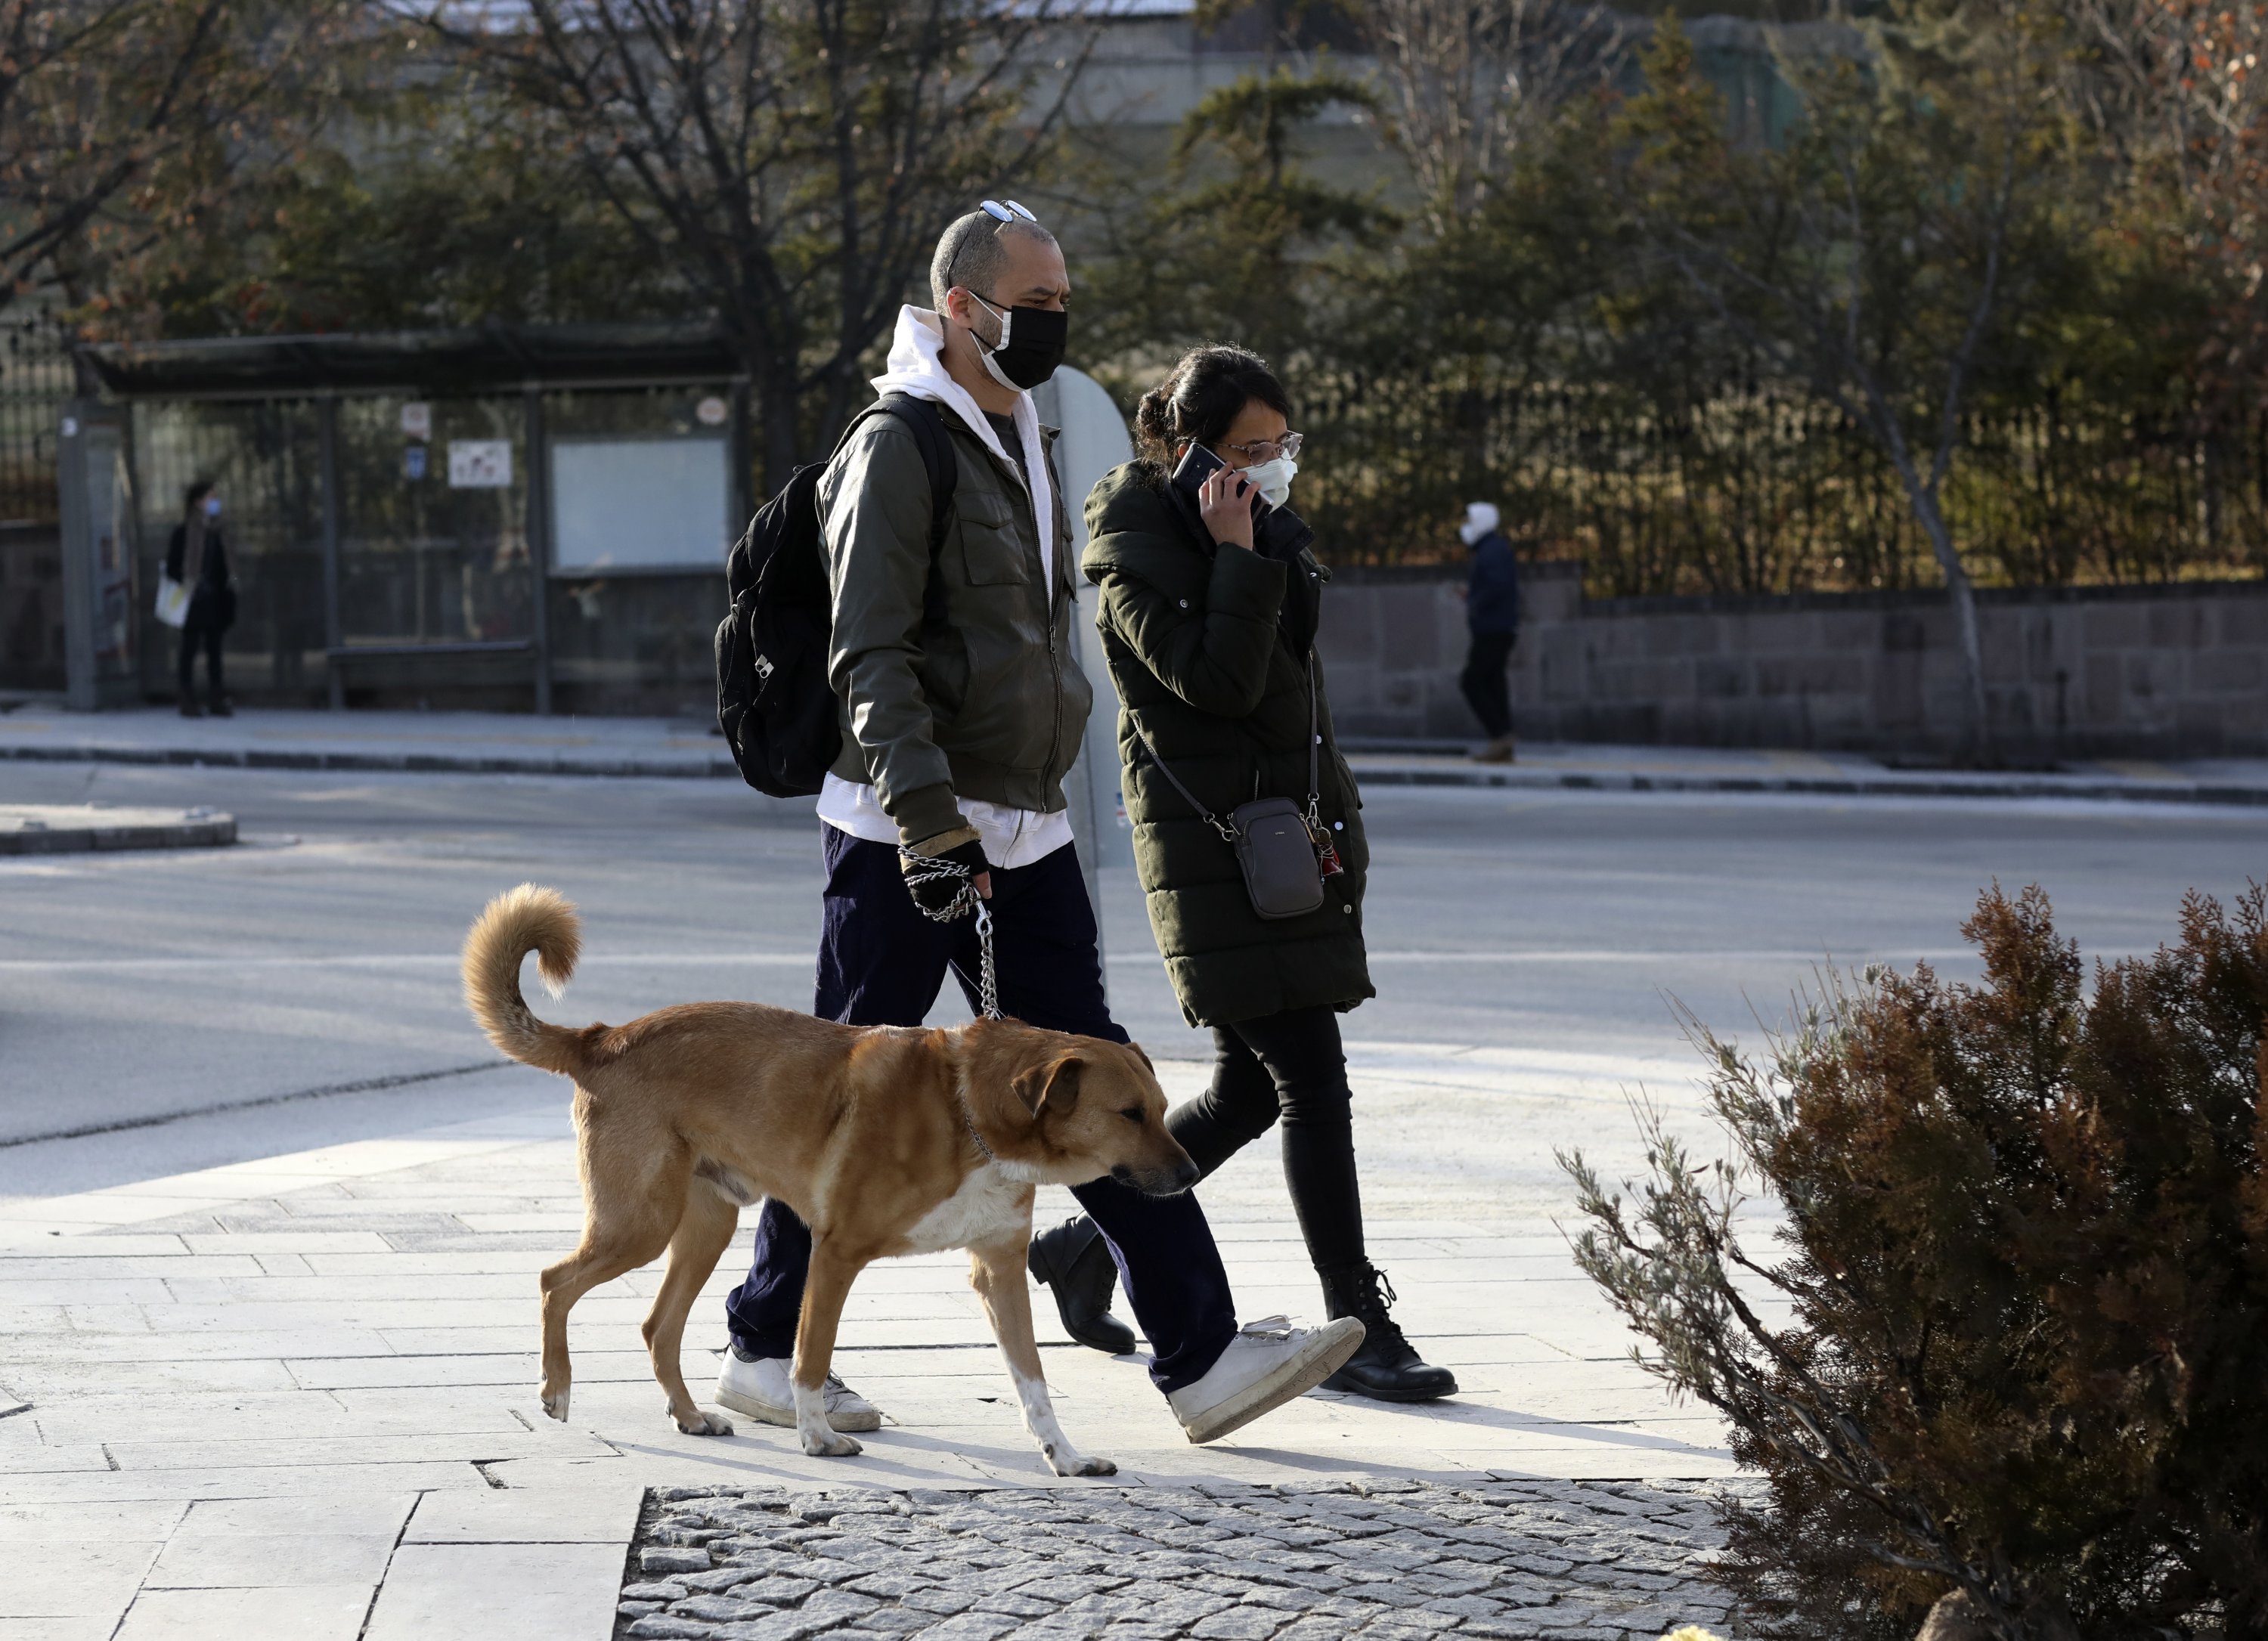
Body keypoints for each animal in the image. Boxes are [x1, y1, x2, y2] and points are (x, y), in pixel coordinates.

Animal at [463, 884, 1207, 1478]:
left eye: (1162, 1108)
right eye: (1130, 1113)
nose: (1192, 1171)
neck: (970, 1114)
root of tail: (604, 1038)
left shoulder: (999, 1268)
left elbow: (1034, 1380)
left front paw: (1067, 1456)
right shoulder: (837, 1252)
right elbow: (811, 1357)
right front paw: (817, 1437)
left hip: (704, 1227)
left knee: (656, 1325)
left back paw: (690, 1415)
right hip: (639, 1222)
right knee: (554, 1281)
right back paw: (556, 1390)